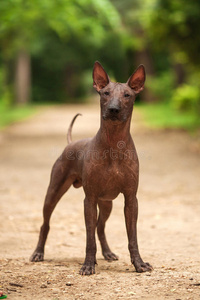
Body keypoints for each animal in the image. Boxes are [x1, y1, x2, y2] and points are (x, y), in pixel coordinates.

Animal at [29, 62, 152, 276]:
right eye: (105, 93)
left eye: (127, 95)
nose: (113, 109)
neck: (113, 144)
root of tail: (71, 143)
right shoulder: (90, 199)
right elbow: (88, 238)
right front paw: (88, 264)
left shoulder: (131, 199)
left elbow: (132, 237)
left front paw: (139, 264)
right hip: (54, 192)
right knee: (46, 224)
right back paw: (38, 253)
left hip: (107, 203)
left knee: (100, 228)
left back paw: (107, 253)